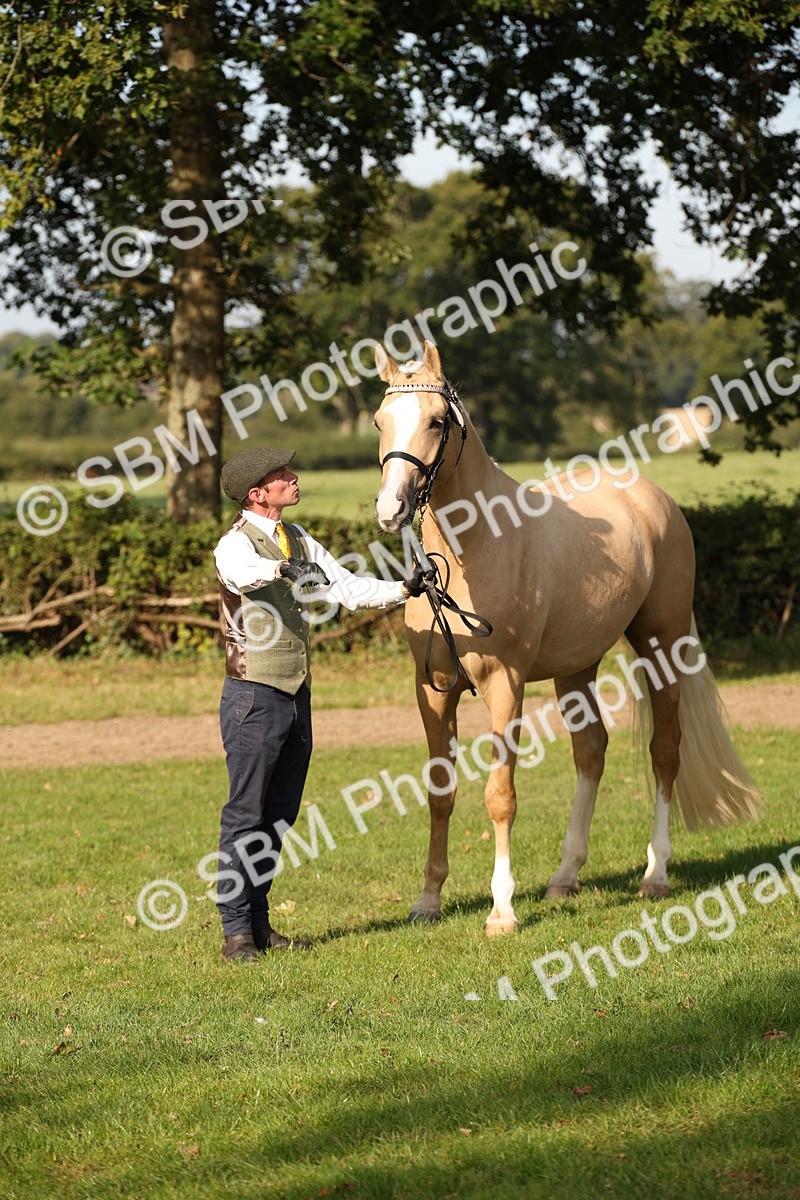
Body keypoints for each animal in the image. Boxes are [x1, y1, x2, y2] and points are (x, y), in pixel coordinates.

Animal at [372, 340, 761, 935]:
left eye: (437, 421)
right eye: (379, 421)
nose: (390, 509)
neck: (477, 549)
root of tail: (656, 501)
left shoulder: (506, 686)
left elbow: (500, 795)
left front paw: (502, 911)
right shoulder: (433, 690)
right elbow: (442, 793)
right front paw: (428, 900)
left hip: (662, 647)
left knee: (665, 752)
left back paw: (655, 873)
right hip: (577, 668)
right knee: (591, 751)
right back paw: (565, 875)